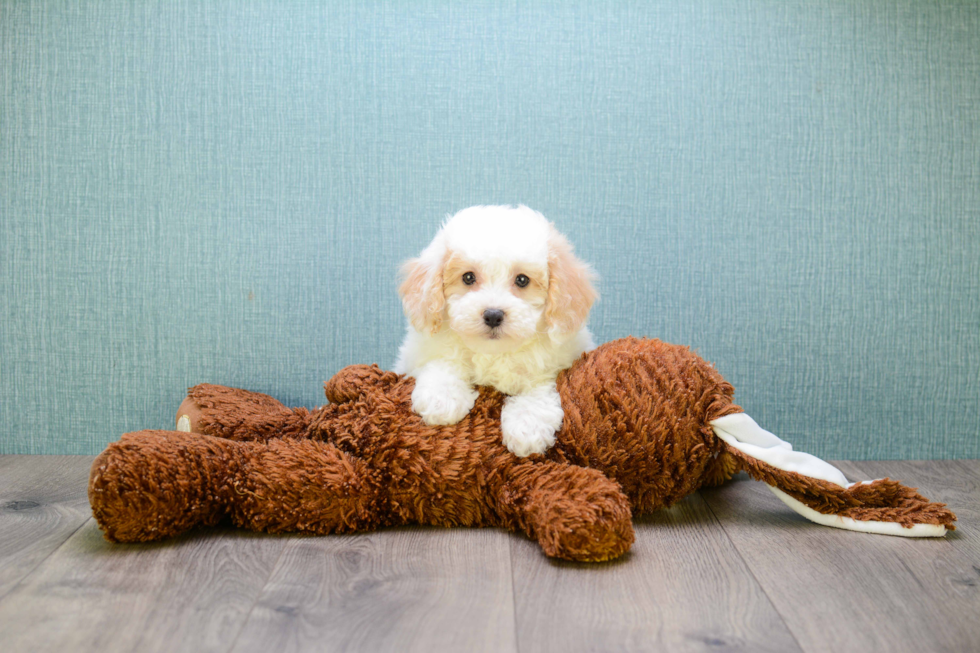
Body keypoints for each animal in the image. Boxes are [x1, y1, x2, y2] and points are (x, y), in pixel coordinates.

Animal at [392, 206, 596, 456]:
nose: (493, 315)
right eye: (468, 277)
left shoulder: (551, 368)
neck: (493, 353)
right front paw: (442, 399)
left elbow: (537, 391)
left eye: (522, 280)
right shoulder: (419, 357)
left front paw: (527, 427)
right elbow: (443, 363)